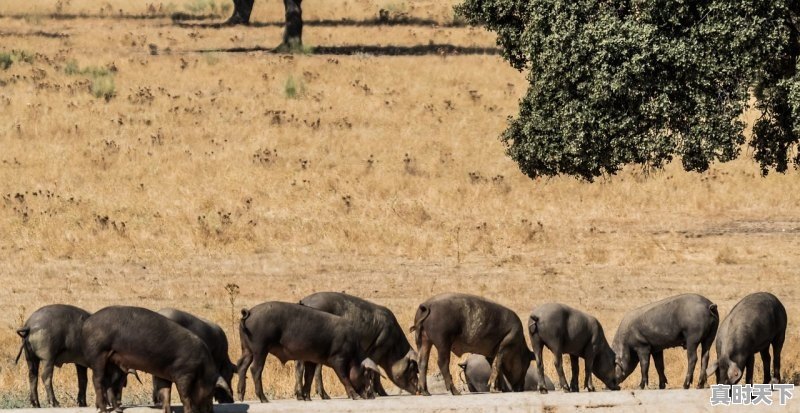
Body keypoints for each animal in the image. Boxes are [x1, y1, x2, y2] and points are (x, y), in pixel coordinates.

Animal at [80, 306, 231, 412]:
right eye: (211, 392)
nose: (210, 411)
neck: (202, 370)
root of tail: (86, 323)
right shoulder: (184, 373)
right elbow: (185, 397)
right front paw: (189, 411)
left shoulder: (164, 375)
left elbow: (165, 394)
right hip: (98, 353)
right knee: (98, 380)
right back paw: (104, 410)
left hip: (112, 362)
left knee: (109, 383)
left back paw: (114, 409)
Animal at [236, 300, 382, 400]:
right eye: (367, 374)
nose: (372, 396)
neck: (354, 352)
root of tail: (249, 313)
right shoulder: (338, 358)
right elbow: (344, 377)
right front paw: (355, 396)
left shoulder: (311, 359)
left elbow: (309, 376)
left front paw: (307, 398)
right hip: (260, 347)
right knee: (255, 369)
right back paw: (264, 399)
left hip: (246, 348)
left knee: (242, 366)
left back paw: (240, 397)